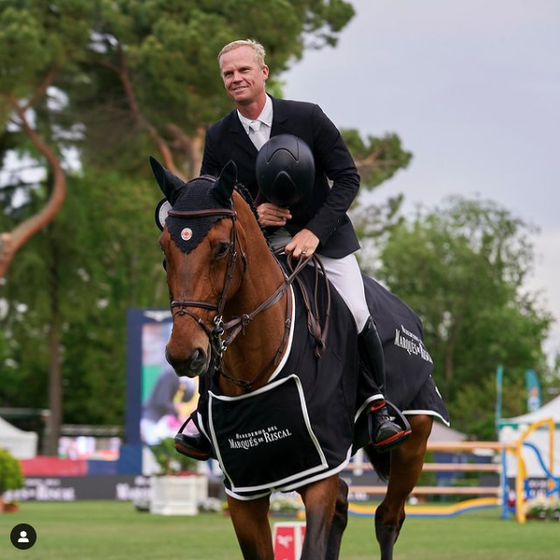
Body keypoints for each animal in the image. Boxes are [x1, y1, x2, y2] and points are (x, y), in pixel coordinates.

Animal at [151, 159, 444, 560]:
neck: (255, 369)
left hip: (413, 442)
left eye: (222, 248)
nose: (184, 353)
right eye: (165, 250)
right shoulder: (243, 490)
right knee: (345, 507)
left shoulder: (320, 471)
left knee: (388, 518)